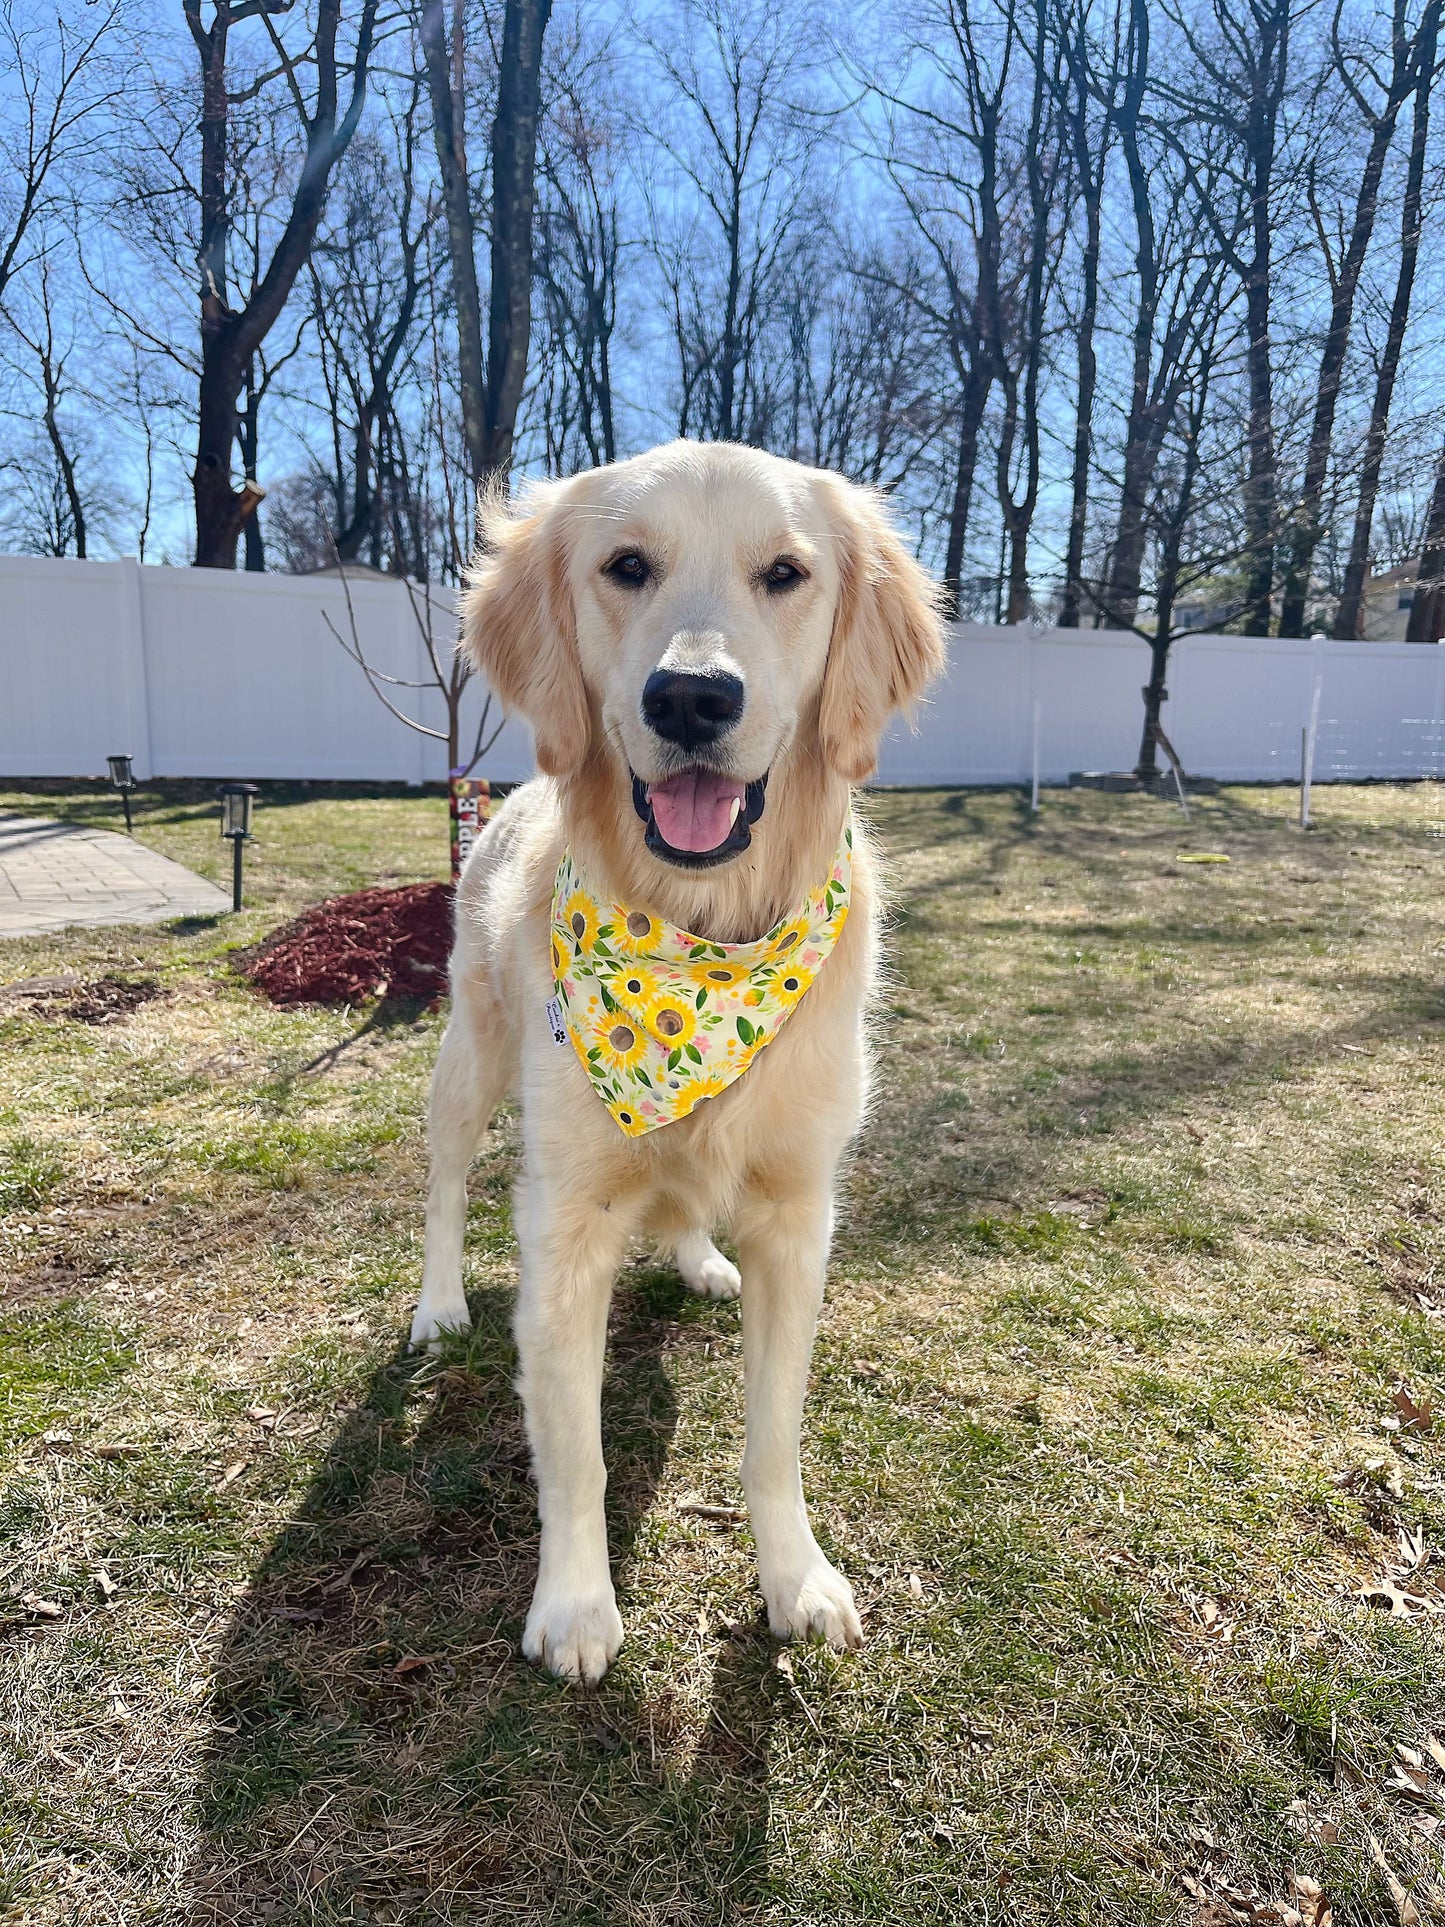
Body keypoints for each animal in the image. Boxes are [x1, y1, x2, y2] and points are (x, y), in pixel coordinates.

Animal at [410, 437, 951, 1672]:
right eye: (626, 566)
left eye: (785, 574)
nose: (693, 696)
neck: (702, 949)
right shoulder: (566, 1220)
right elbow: (575, 1447)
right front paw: (574, 1602)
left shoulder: (800, 1213)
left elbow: (771, 1436)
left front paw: (795, 1577)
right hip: (470, 1055)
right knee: (445, 1182)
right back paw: (437, 1303)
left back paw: (702, 1256)